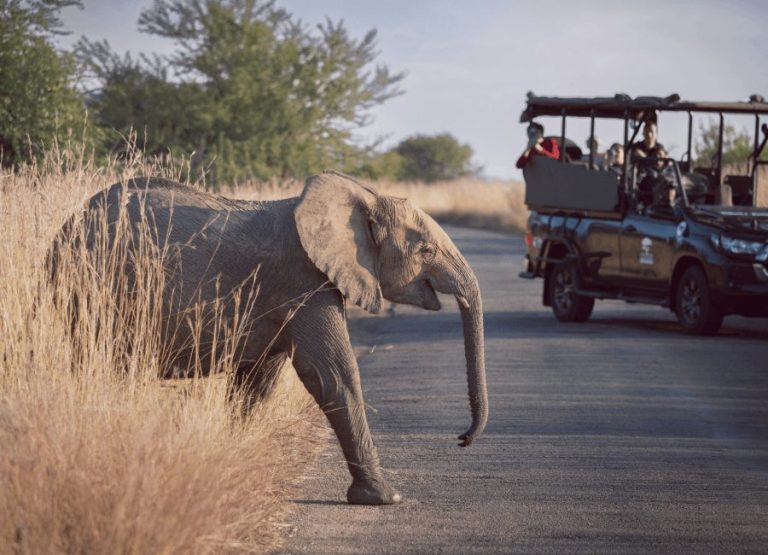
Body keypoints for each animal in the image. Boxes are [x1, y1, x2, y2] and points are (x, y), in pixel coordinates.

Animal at [53, 171, 488, 505]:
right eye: (426, 250)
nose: (462, 439)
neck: (361, 196)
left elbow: (258, 380)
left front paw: (234, 463)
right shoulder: (304, 281)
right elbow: (332, 373)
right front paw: (383, 499)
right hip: (92, 288)